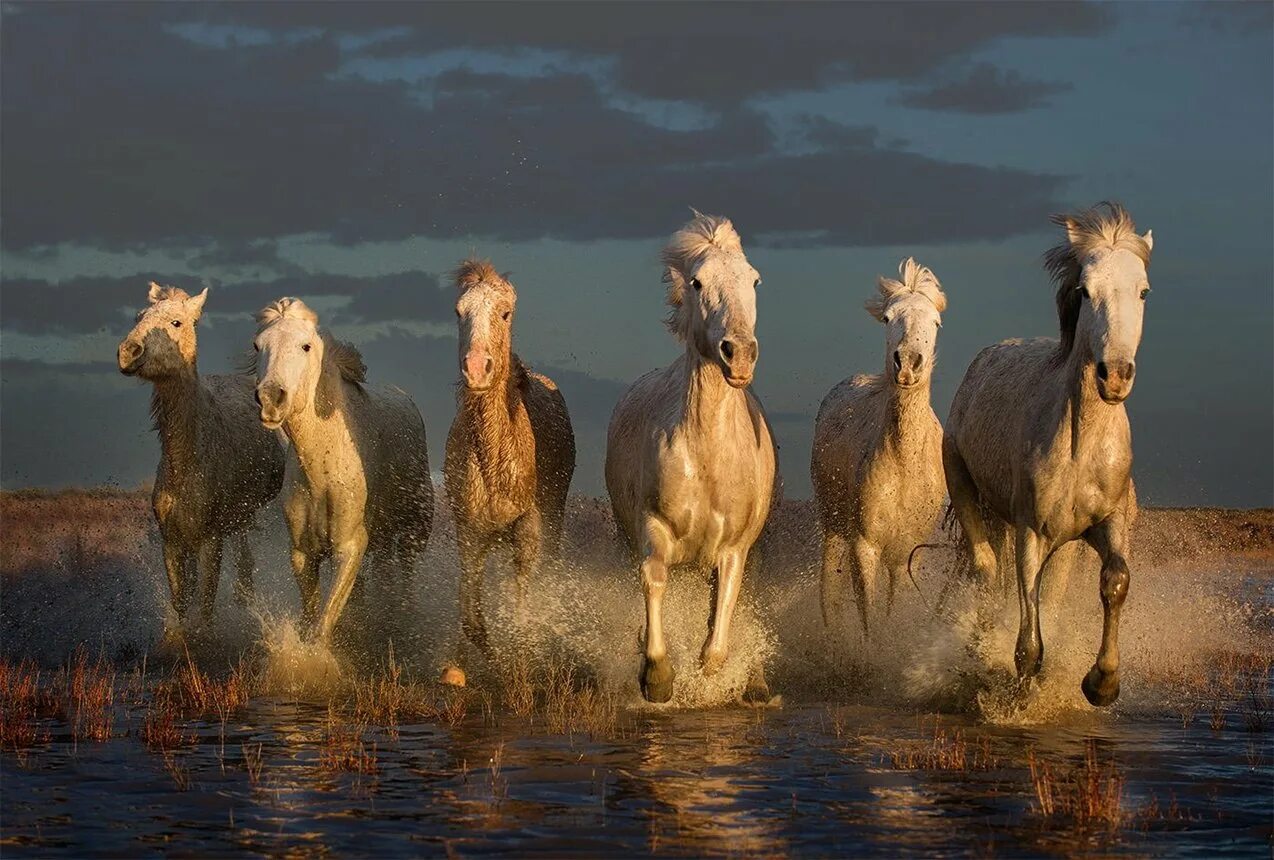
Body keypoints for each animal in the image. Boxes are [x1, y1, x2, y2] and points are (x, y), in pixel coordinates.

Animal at [252, 299, 433, 642]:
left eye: (306, 346)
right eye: (258, 346)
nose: (270, 398)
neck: (321, 472)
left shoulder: (349, 547)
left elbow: (324, 623)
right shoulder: (303, 553)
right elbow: (313, 614)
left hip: (414, 528)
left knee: (406, 570)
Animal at [606, 211, 774, 703]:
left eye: (754, 280)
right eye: (698, 282)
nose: (739, 354)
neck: (707, 458)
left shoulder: (734, 548)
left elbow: (718, 635)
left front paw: (710, 677)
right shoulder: (653, 527)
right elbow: (654, 579)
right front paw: (657, 676)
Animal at [815, 258, 947, 637]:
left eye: (936, 321)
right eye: (888, 318)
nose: (908, 364)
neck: (903, 464)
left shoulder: (906, 552)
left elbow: (894, 609)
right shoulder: (865, 546)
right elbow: (870, 616)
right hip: (833, 525)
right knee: (829, 590)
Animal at [947, 203, 1156, 708]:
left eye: (1142, 291)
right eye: (1085, 291)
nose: (1114, 375)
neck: (1081, 449)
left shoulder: (1109, 523)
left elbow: (1116, 580)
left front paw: (1102, 683)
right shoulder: (1031, 533)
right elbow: (1028, 640)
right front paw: (1019, 702)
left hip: (1064, 543)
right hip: (969, 493)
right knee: (987, 573)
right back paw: (978, 651)